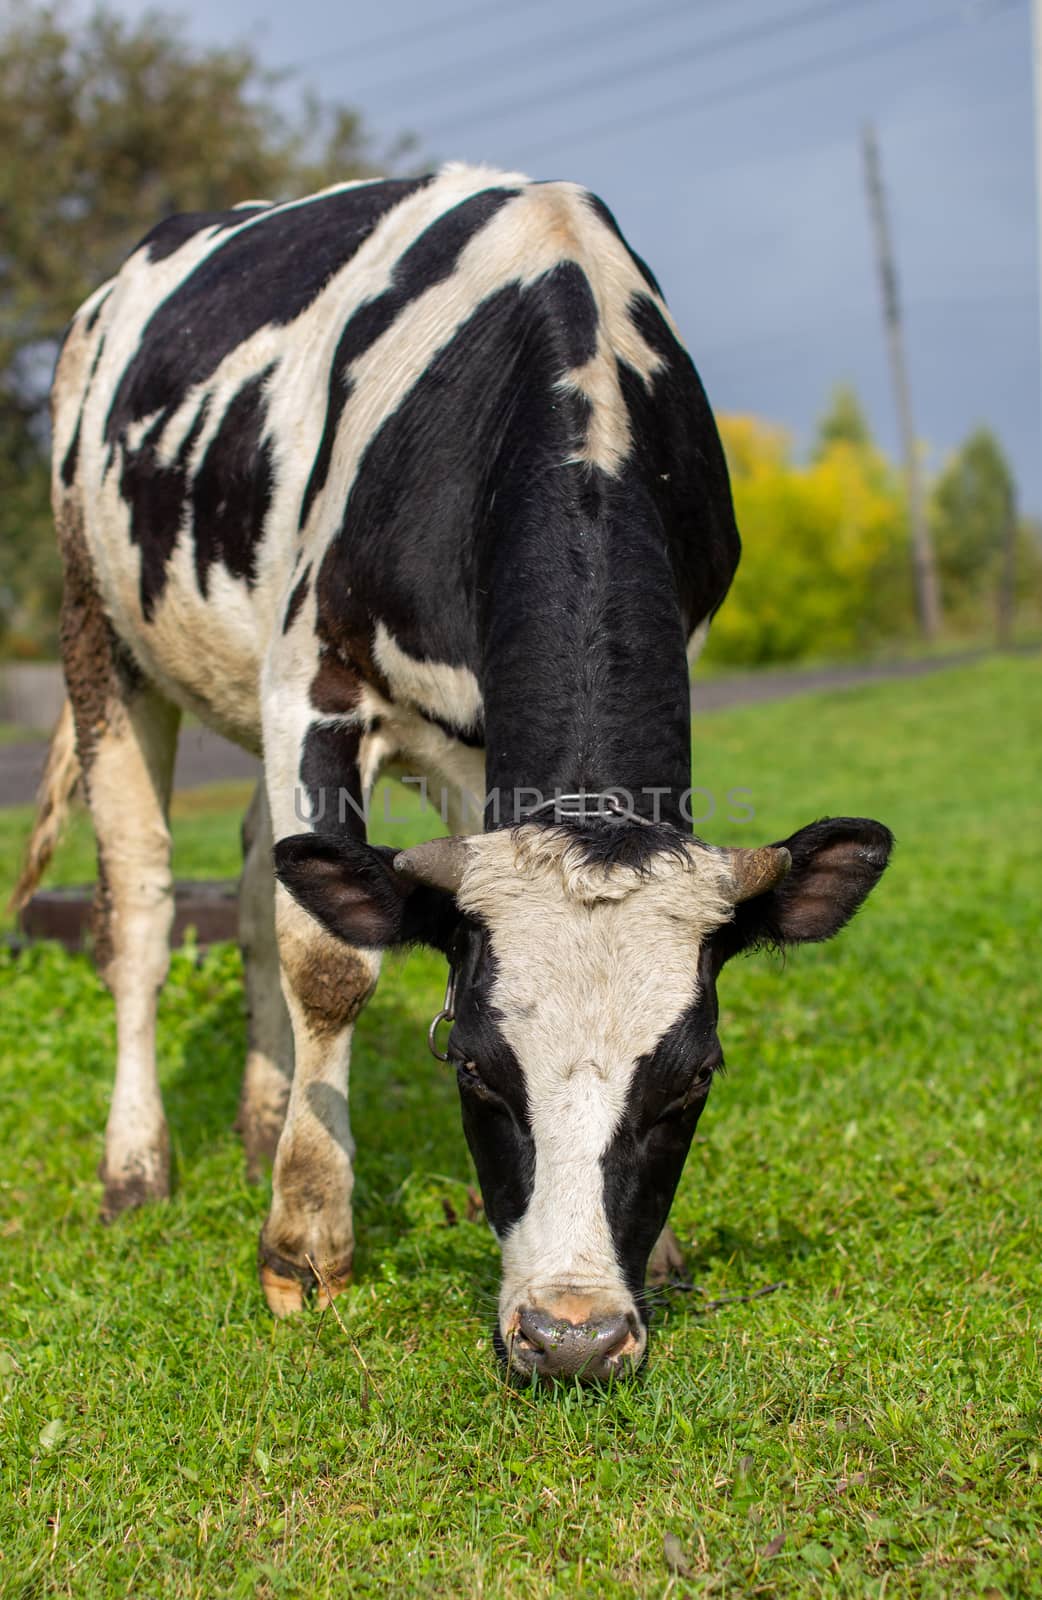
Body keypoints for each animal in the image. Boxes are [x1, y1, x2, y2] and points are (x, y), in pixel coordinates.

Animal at [16, 168, 889, 1382]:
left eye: (694, 1077)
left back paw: (263, 1115)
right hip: (98, 628)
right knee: (141, 905)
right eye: (473, 1068)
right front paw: (305, 1243)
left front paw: (652, 1252)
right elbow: (330, 960)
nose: (574, 1336)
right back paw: (138, 1167)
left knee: (257, 873)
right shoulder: (314, 681)